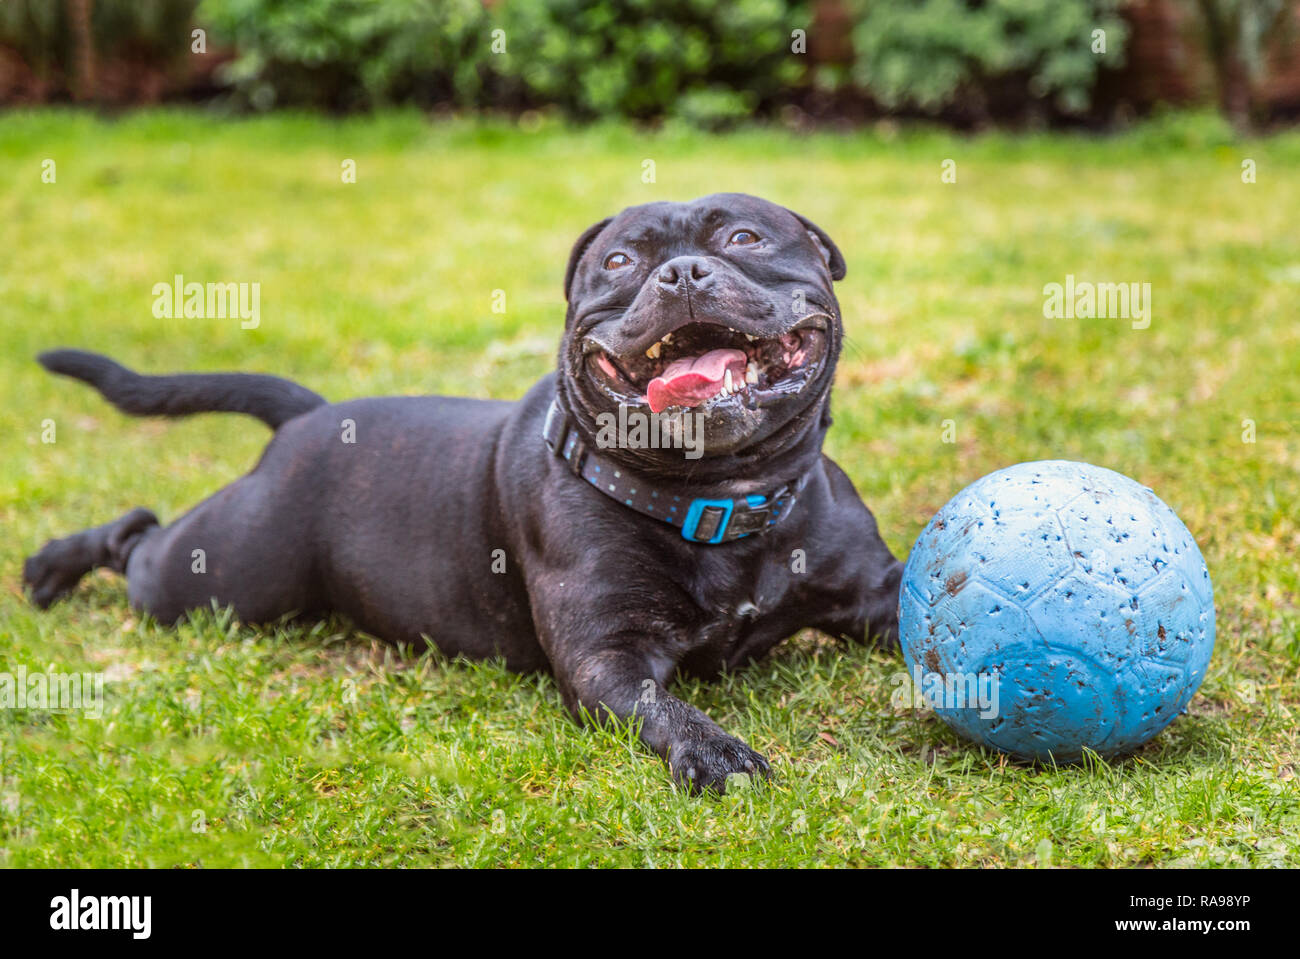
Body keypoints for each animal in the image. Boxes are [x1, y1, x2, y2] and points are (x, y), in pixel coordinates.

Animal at [25, 194, 899, 790]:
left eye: (745, 237)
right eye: (619, 262)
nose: (681, 271)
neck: (724, 496)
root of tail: (311, 416)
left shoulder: (879, 591)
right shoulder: (606, 660)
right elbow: (665, 706)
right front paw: (715, 751)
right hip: (220, 578)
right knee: (138, 539)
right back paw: (51, 567)